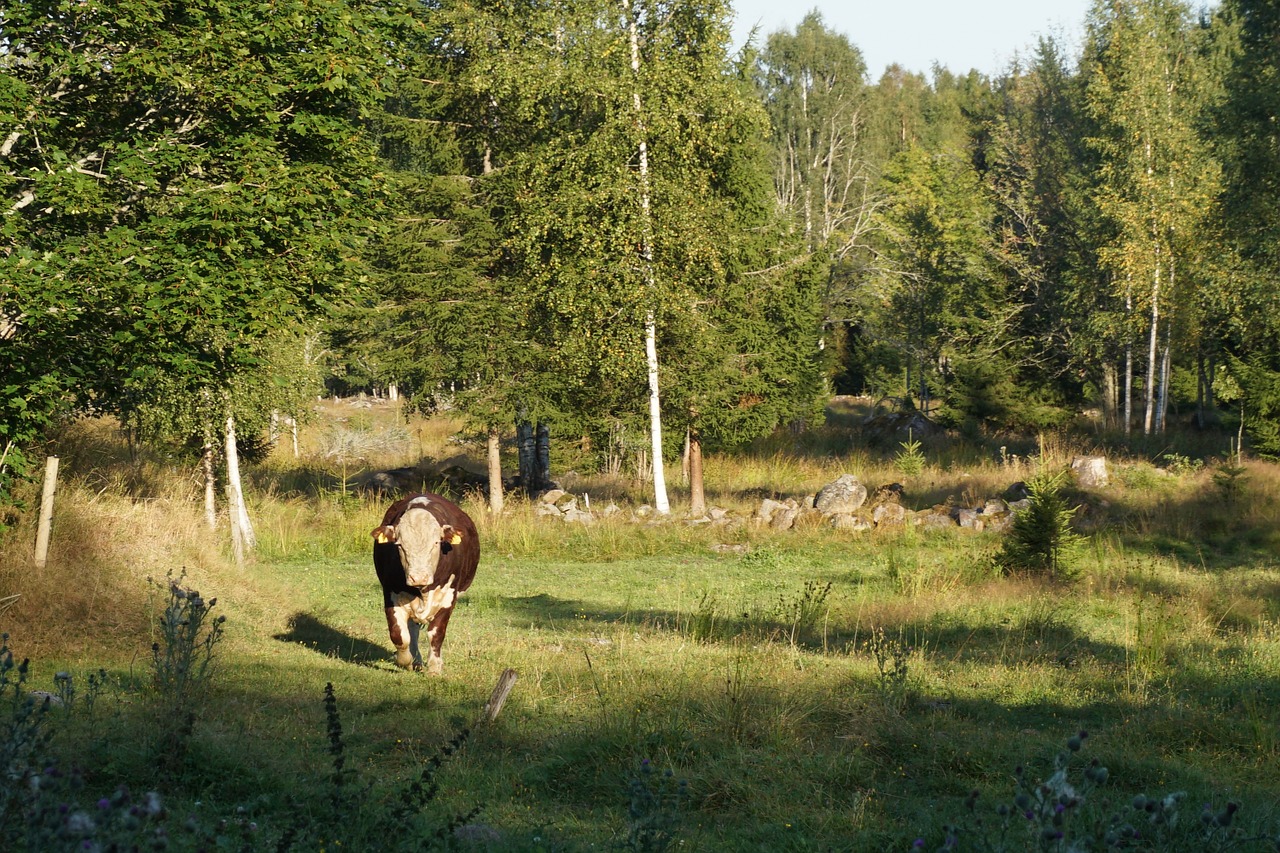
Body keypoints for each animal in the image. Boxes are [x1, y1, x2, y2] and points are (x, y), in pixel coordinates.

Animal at [371, 491, 481, 671]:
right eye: (400, 545)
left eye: (436, 543)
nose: (418, 577)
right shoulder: (390, 593)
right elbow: (398, 634)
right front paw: (406, 661)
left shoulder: (448, 596)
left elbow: (436, 633)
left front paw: (435, 667)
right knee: (412, 628)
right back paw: (415, 660)